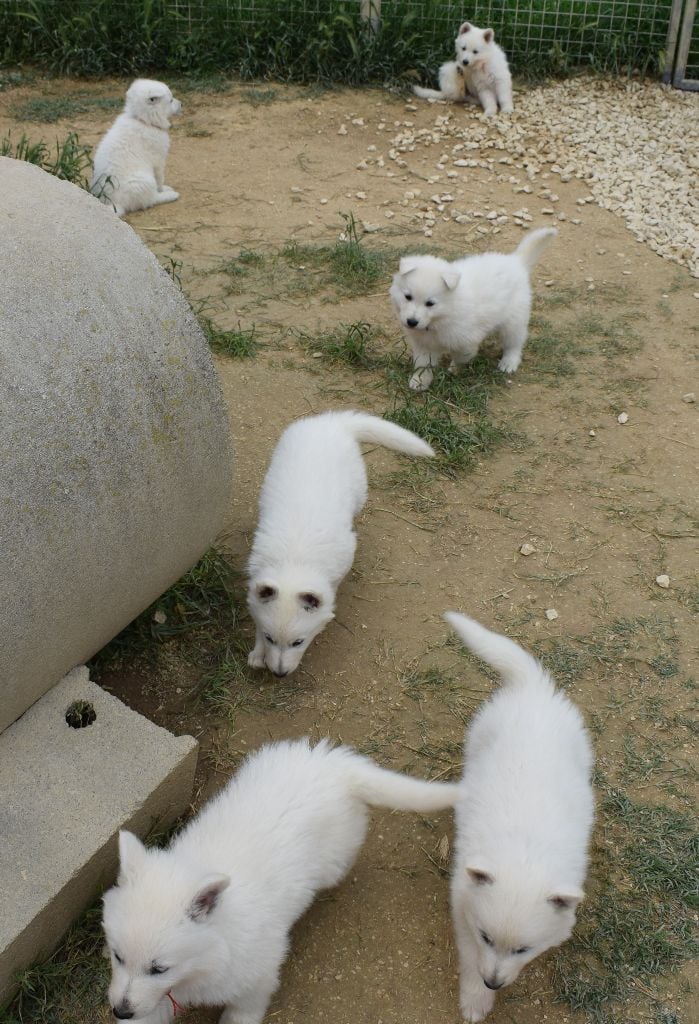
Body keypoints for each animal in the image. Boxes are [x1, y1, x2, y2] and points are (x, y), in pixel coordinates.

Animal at [91, 78, 182, 218]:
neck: (143, 121)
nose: (182, 104)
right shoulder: (158, 161)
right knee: (151, 200)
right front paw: (163, 189)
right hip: (146, 181)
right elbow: (160, 180)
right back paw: (170, 195)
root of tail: (115, 203)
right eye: (171, 100)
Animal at [101, 737, 456, 1024]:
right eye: (117, 956)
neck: (215, 945)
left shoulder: (257, 978)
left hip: (335, 860)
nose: (120, 1010)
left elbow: (242, 1012)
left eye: (158, 969)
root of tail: (331, 764)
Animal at [245, 407, 431, 679]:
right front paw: (258, 653)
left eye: (298, 642)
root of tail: (332, 421)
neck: (293, 561)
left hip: (359, 488)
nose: (279, 674)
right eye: (270, 638)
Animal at [388, 228, 556, 391]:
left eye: (430, 303)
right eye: (407, 297)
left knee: (514, 342)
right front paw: (419, 381)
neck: (442, 317)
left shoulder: (467, 341)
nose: (411, 322)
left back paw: (509, 362)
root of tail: (516, 261)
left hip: (514, 319)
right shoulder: (424, 344)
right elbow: (423, 365)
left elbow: (461, 357)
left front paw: (454, 370)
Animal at [446, 610, 593, 1019]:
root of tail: (533, 690)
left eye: (523, 950)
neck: (524, 851)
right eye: (487, 937)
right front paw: (475, 1000)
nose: (493, 983)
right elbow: (469, 956)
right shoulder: (463, 906)